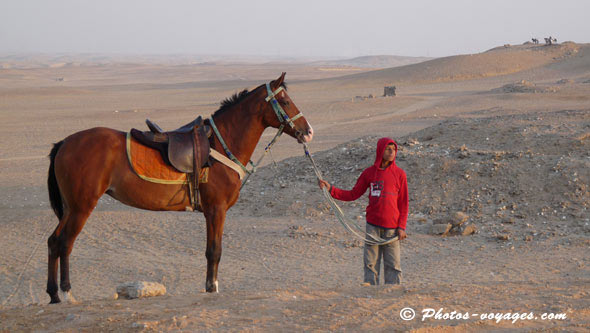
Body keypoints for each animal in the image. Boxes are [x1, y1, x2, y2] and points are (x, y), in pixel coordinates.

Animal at [45, 73, 314, 304]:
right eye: (285, 101)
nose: (308, 131)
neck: (220, 144)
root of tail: (64, 143)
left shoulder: (213, 211)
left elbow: (212, 250)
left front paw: (211, 287)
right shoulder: (216, 209)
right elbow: (214, 251)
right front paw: (212, 288)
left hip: (70, 207)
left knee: (53, 241)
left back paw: (54, 295)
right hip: (82, 207)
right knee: (66, 243)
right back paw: (67, 294)